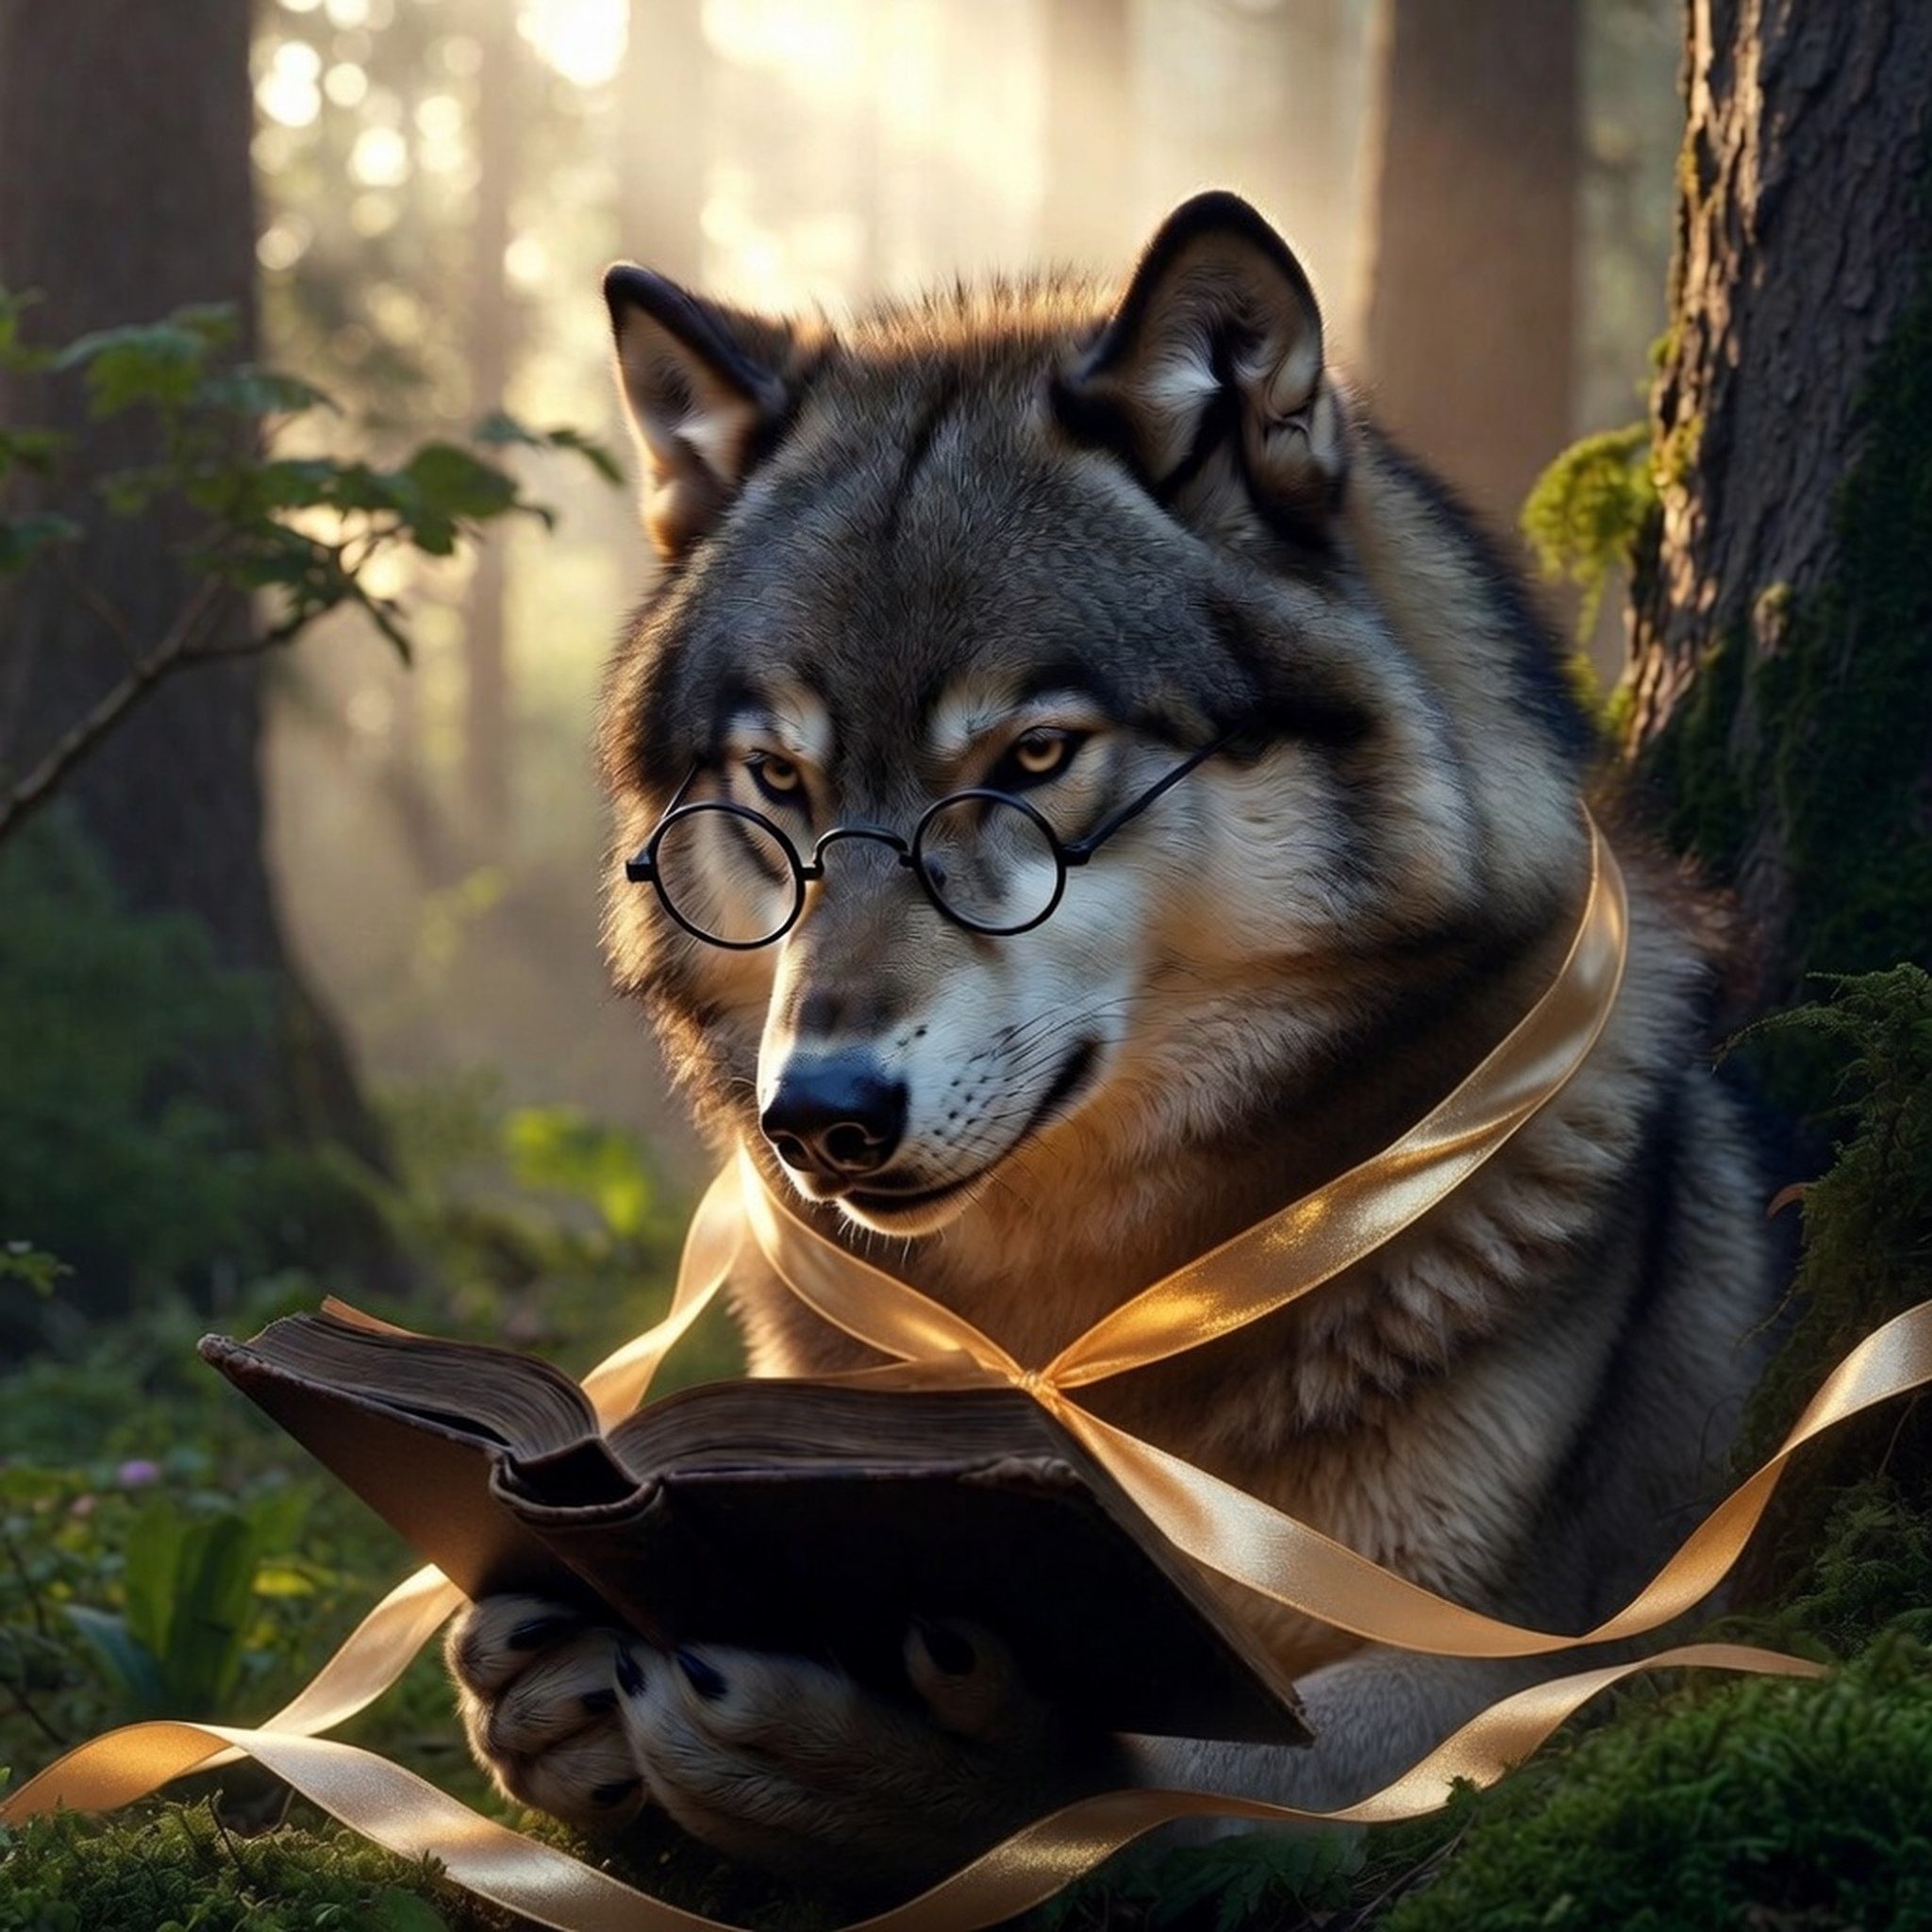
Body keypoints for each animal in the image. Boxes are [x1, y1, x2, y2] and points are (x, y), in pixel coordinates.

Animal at [445, 192, 1776, 1891]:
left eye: (1029, 757)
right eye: (778, 780)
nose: (818, 1114)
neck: (1080, 1313)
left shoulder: (1516, 1656)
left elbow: (1157, 1758)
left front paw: (921, 1767)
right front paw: (534, 1666)